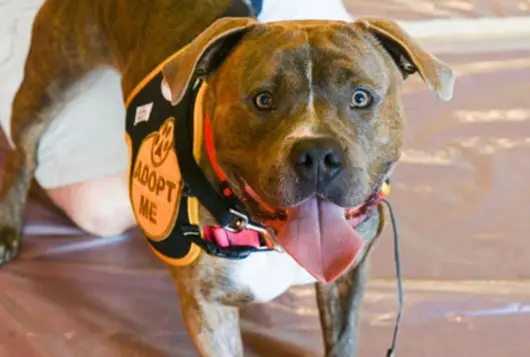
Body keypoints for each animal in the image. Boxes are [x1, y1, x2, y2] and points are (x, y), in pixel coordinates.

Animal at [0, 0, 454, 354]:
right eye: (263, 100)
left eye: (361, 97)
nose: (318, 154)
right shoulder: (208, 311)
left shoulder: (348, 278)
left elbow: (342, 342)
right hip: (47, 82)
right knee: (24, 152)